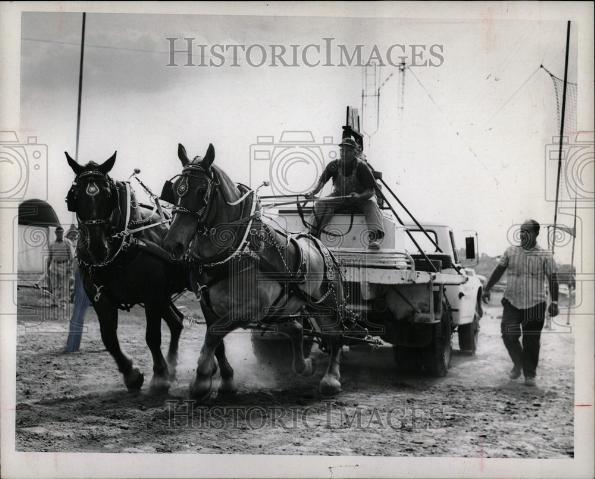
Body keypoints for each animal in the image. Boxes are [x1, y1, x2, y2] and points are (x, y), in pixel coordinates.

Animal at [65, 153, 187, 394]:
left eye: (107, 194)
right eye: (75, 195)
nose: (97, 248)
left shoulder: (151, 295)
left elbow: (152, 336)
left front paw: (159, 376)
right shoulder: (101, 298)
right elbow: (109, 338)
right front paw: (131, 375)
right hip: (163, 296)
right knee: (177, 322)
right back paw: (173, 367)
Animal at [163, 143, 346, 402]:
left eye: (201, 191)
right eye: (176, 189)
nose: (173, 244)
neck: (236, 251)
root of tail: (322, 246)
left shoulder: (250, 309)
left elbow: (214, 334)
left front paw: (202, 379)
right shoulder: (208, 306)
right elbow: (216, 340)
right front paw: (224, 380)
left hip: (326, 305)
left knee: (335, 335)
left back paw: (331, 378)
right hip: (278, 310)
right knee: (296, 328)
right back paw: (304, 366)